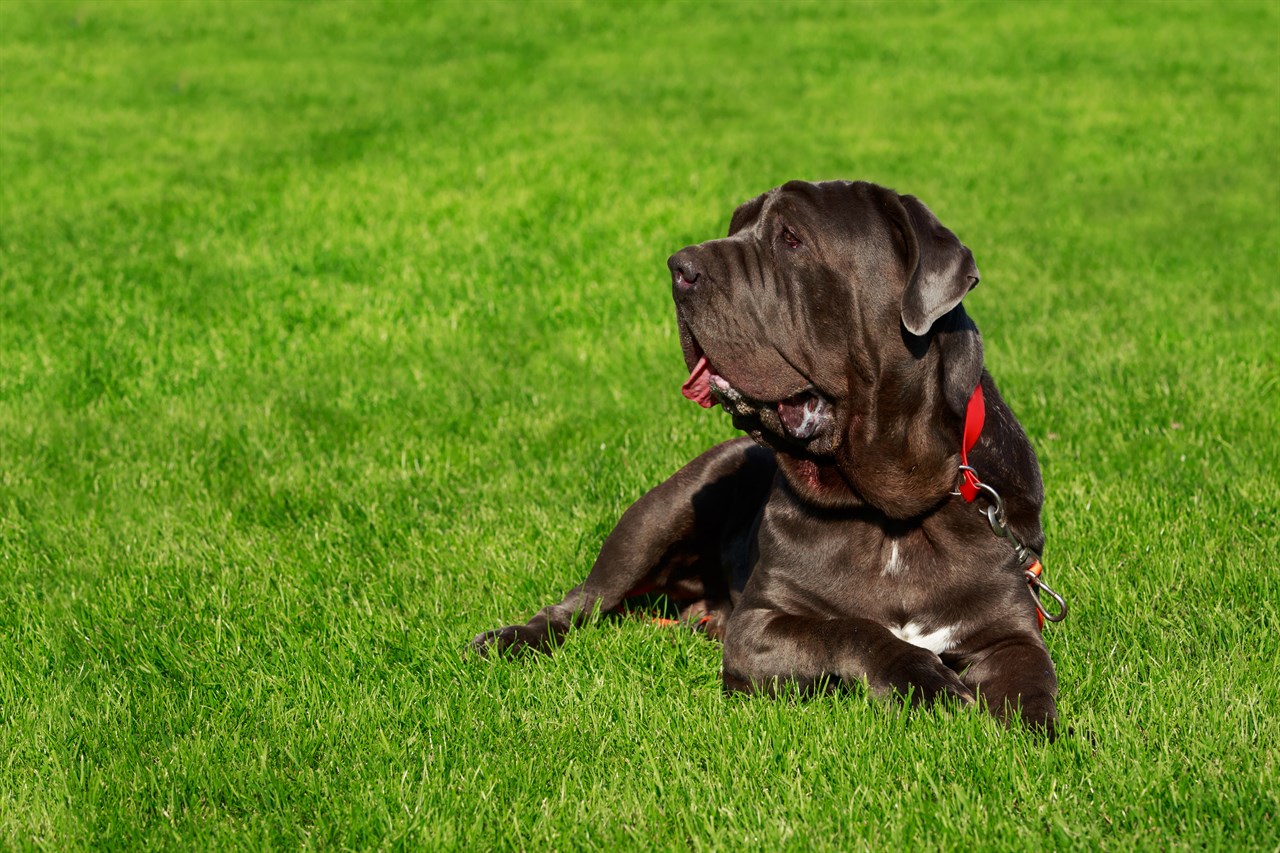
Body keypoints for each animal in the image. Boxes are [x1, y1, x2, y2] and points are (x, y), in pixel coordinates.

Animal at [471, 178, 1059, 732]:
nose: (679, 268)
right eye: (736, 226)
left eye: (791, 238)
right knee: (582, 599)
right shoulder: (760, 624)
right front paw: (928, 682)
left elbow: (1031, 681)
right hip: (657, 516)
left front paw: (1036, 740)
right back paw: (509, 638)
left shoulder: (1009, 632)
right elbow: (853, 629)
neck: (892, 510)